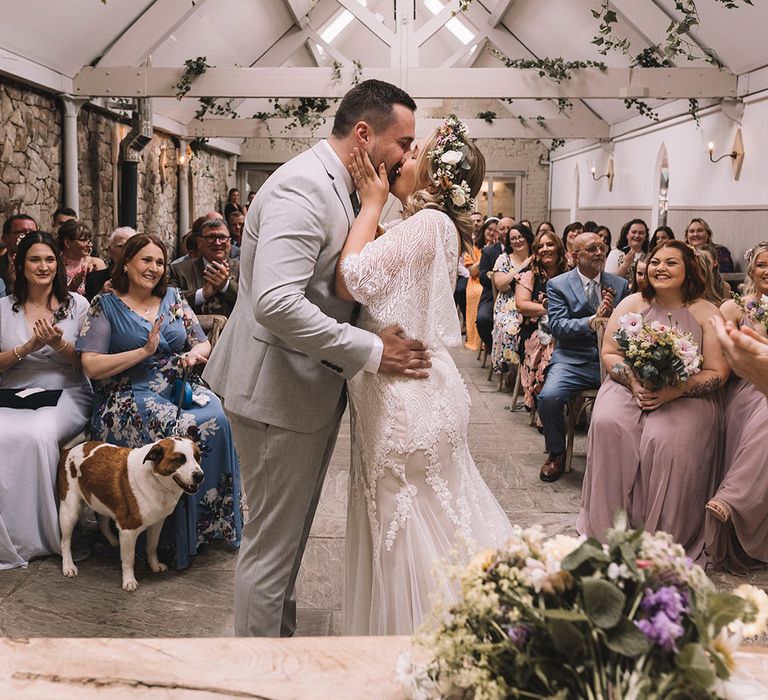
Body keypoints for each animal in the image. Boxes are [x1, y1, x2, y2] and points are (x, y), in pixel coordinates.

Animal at [58, 438, 204, 592]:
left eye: (197, 457)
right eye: (179, 460)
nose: (200, 476)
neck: (155, 479)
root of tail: (68, 451)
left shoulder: (157, 522)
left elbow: (152, 546)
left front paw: (154, 565)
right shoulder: (128, 530)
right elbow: (129, 558)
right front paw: (129, 580)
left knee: (102, 523)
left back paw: (113, 541)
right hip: (70, 510)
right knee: (65, 541)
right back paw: (68, 566)